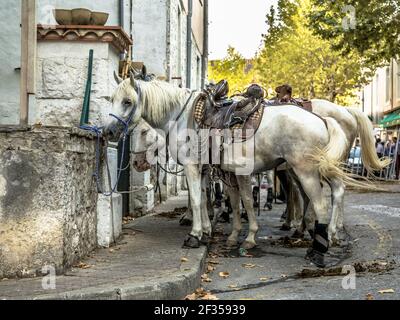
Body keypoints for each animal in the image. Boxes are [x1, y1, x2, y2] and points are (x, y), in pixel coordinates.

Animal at [104, 73, 360, 268]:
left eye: (127, 102)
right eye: (112, 99)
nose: (109, 132)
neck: (182, 117)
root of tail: (322, 119)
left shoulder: (193, 166)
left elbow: (196, 199)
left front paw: (195, 235)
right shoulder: (210, 170)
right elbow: (212, 200)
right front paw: (208, 232)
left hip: (304, 170)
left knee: (319, 204)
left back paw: (317, 249)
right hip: (315, 169)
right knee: (336, 190)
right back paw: (325, 235)